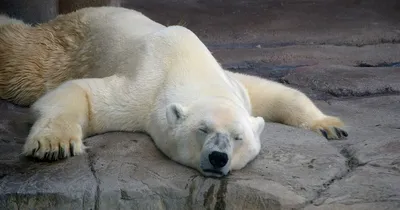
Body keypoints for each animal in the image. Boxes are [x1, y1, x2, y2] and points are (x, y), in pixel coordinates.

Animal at [0, 7, 346, 176]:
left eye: (238, 138)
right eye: (202, 130)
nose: (218, 157)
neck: (190, 66)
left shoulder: (234, 86)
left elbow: (267, 90)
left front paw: (331, 126)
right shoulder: (143, 89)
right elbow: (79, 93)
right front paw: (53, 145)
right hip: (67, 46)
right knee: (24, 63)